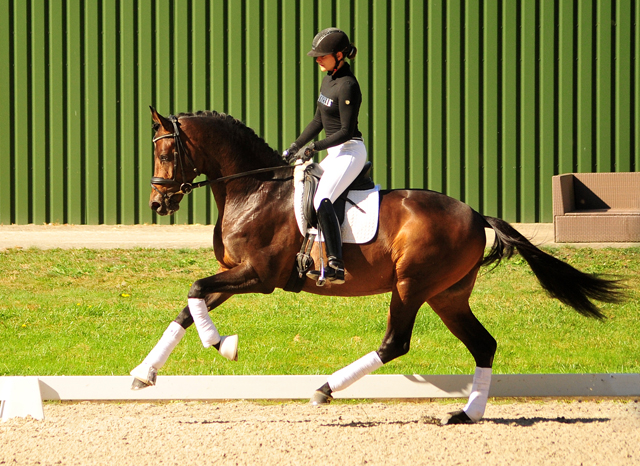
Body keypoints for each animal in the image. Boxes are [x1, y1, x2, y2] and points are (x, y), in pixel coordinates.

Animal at [130, 107, 624, 424]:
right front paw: (143, 374)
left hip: (411, 286)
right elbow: (189, 305)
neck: (254, 188)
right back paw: (466, 414)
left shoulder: (259, 275)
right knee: (483, 345)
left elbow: (195, 290)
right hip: (447, 296)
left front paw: (223, 345)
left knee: (395, 343)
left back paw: (325, 389)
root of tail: (475, 214)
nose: (157, 203)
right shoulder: (237, 274)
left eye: (168, 154)